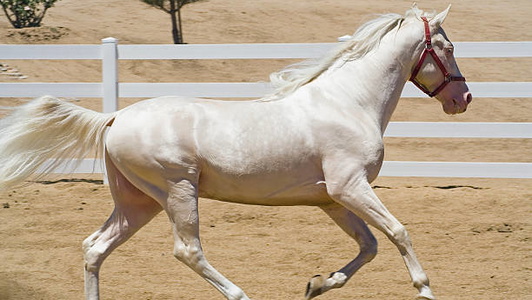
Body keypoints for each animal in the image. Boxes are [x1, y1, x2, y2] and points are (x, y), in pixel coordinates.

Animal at [1, 4, 474, 300]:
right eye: (448, 48)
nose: (463, 98)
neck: (348, 102)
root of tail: (114, 118)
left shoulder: (331, 199)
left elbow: (370, 244)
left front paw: (317, 284)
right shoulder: (350, 187)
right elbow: (398, 232)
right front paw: (425, 289)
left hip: (138, 202)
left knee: (95, 247)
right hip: (177, 191)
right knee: (188, 251)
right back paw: (240, 293)